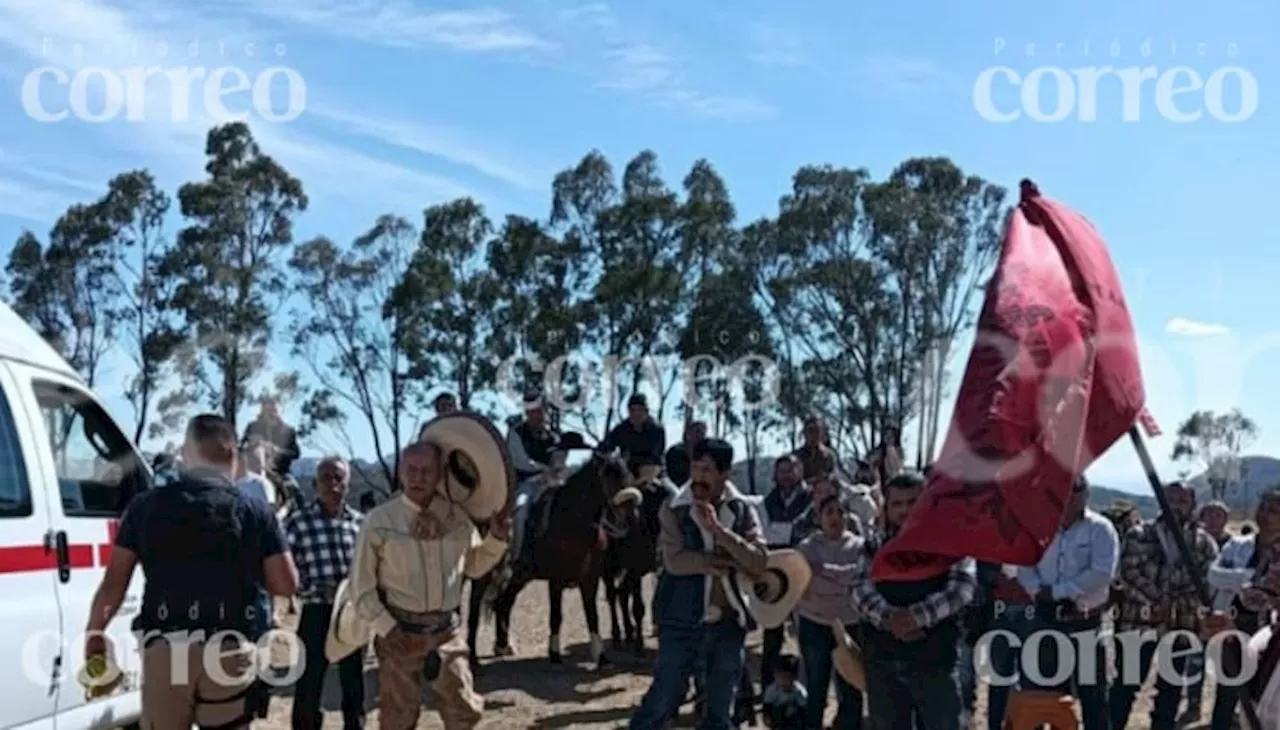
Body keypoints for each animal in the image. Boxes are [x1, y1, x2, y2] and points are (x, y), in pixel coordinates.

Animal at [471, 443, 629, 665]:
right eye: (608, 475)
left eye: (627, 473)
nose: (627, 512)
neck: (572, 522)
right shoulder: (556, 580)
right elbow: (556, 616)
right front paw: (554, 654)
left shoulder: (590, 579)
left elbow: (593, 616)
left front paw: (600, 656)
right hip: (485, 576)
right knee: (476, 608)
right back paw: (473, 656)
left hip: (519, 577)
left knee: (504, 603)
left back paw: (503, 645)